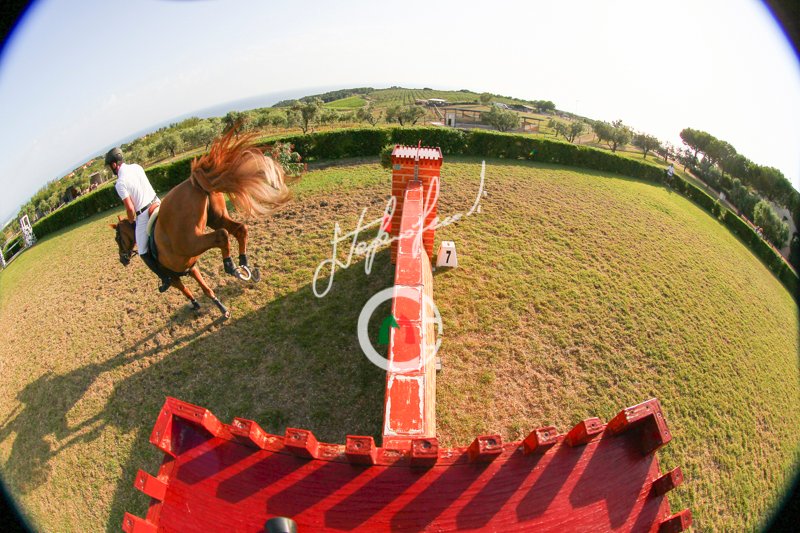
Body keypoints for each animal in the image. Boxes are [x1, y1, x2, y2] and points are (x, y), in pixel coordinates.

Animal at [110, 130, 291, 318]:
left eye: (118, 239)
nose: (123, 259)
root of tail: (194, 183)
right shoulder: (191, 268)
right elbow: (205, 289)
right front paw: (221, 307)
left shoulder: (174, 277)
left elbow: (185, 290)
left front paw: (196, 304)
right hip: (216, 217)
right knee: (239, 229)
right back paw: (244, 264)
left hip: (191, 242)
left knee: (221, 235)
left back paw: (231, 267)